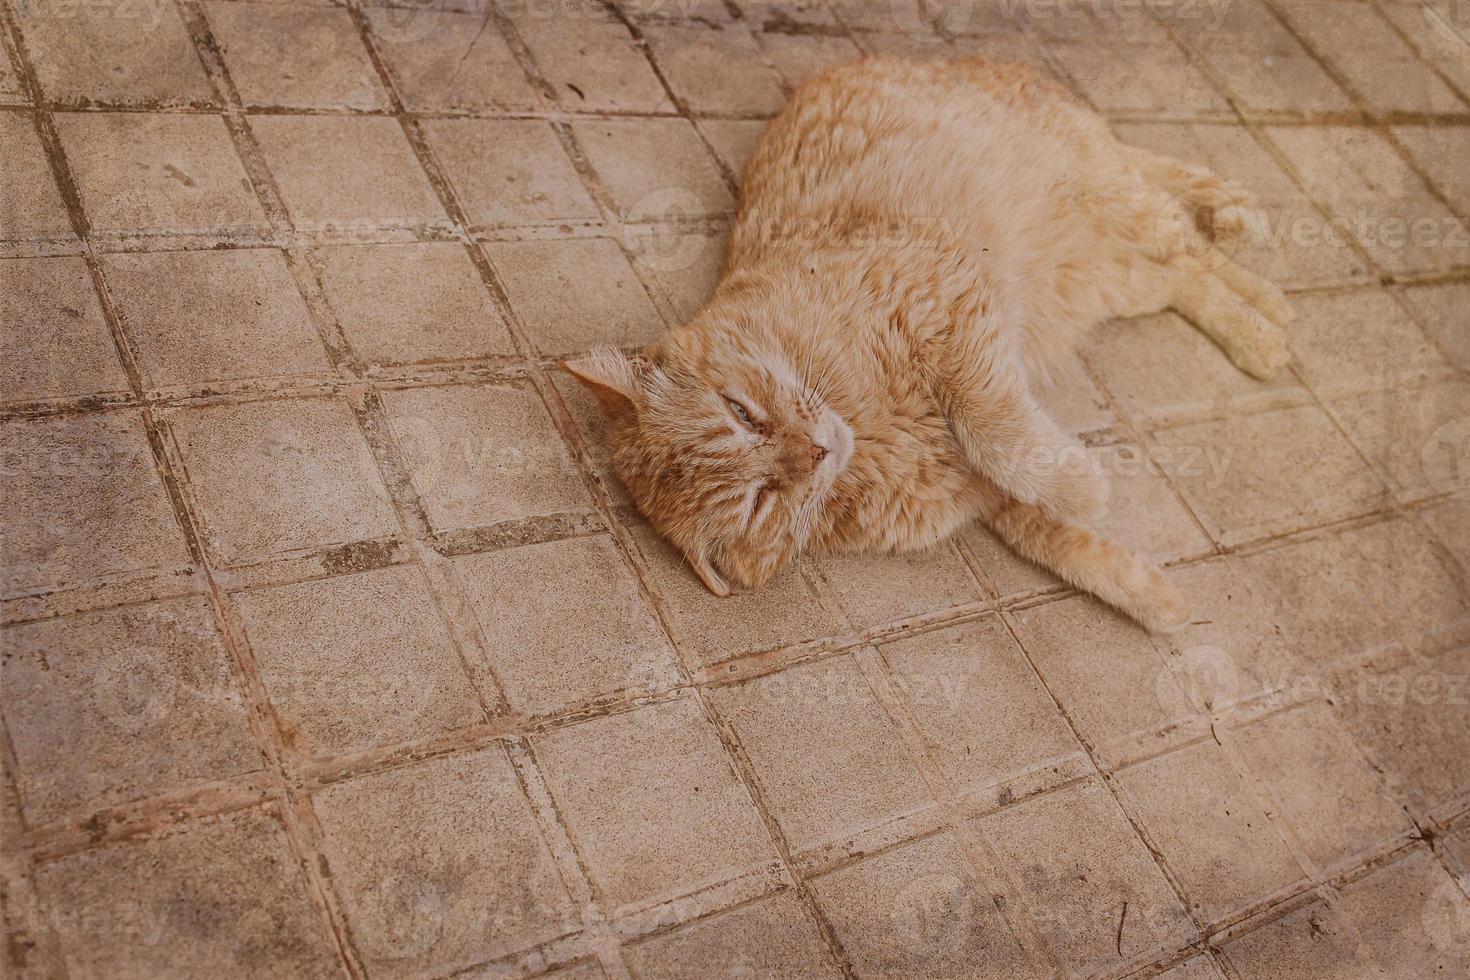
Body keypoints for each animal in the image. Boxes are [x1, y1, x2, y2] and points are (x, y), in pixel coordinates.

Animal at [561, 57, 1287, 631]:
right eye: (760, 499)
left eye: (744, 413)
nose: (816, 450)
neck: (873, 438)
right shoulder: (986, 500)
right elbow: (1058, 543)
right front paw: (1154, 600)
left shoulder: (950, 312)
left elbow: (999, 433)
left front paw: (1082, 485)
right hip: (1104, 276)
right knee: (1185, 273)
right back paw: (1264, 331)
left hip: (1108, 198)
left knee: (1182, 227)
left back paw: (1257, 277)